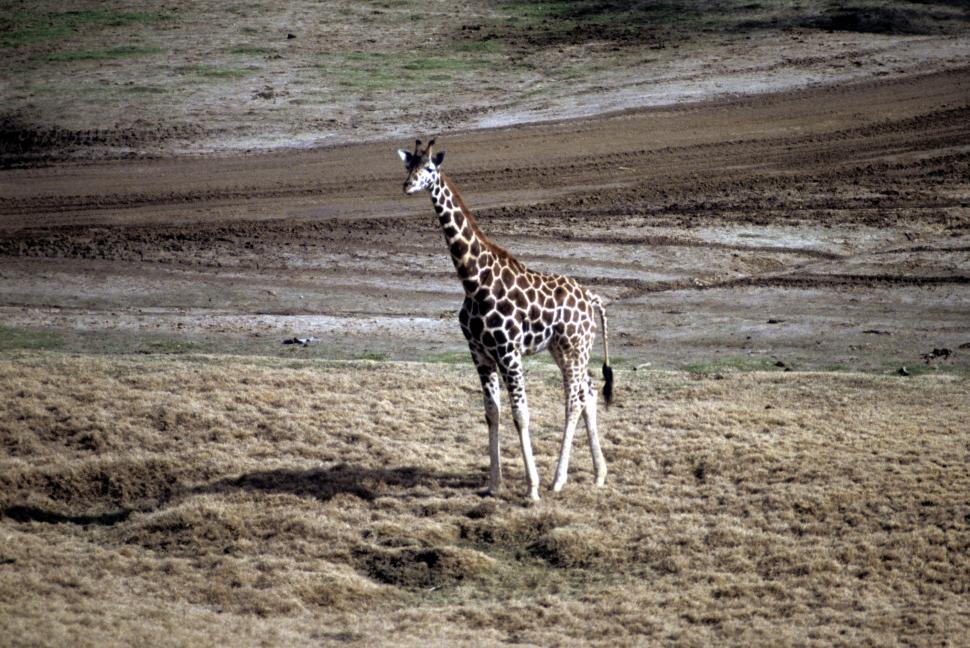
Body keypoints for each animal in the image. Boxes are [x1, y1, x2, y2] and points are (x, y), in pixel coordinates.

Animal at [397, 138, 614, 500]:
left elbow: (520, 415)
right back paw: (598, 474)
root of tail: (592, 299)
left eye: (428, 168)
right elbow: (492, 413)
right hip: (564, 350)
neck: (474, 282)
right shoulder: (480, 354)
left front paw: (532, 487)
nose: (408, 185)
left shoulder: (509, 353)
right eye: (407, 165)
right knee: (590, 391)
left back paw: (557, 480)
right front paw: (494, 484)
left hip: (574, 348)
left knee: (573, 401)